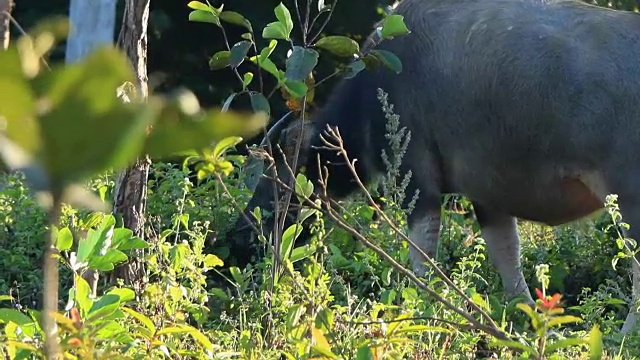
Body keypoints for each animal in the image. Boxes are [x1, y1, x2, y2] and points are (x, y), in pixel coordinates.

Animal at [230, 0, 640, 334]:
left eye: (277, 175)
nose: (241, 233)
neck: (375, 88)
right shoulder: (487, 194)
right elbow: (506, 254)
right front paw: (523, 317)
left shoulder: (417, 180)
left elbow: (423, 252)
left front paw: (420, 305)